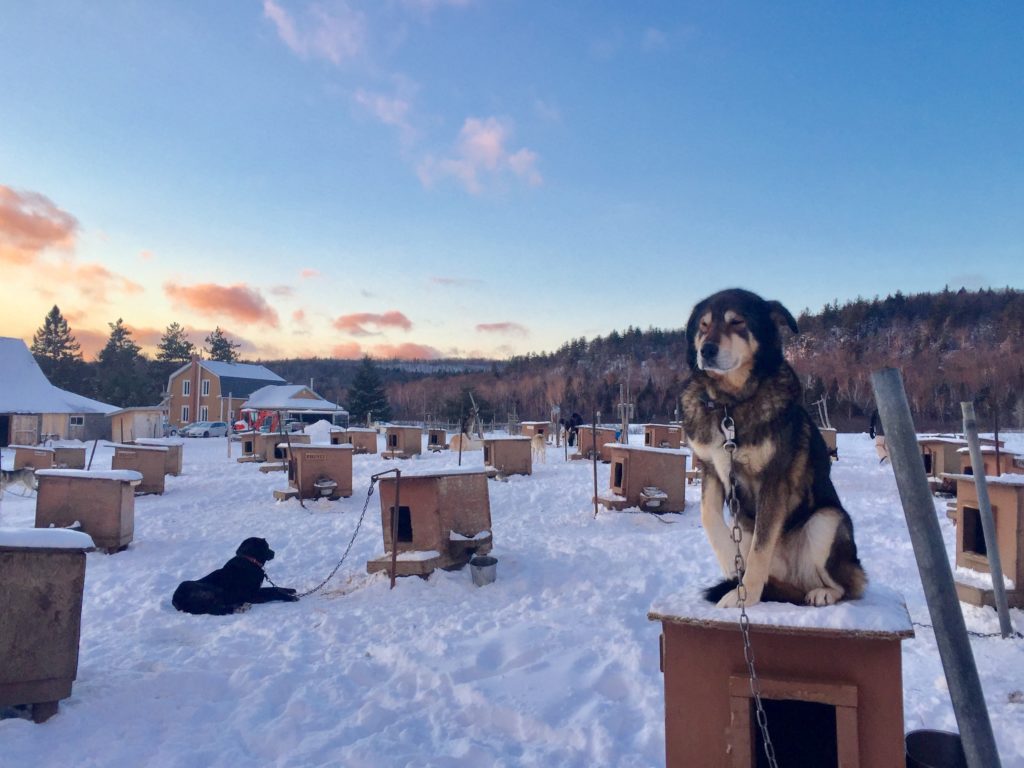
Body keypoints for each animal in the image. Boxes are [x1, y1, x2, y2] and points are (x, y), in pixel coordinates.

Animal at [169, 536, 299, 618]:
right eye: (266, 546)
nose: (274, 553)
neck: (249, 560)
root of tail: (176, 600)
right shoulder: (252, 595)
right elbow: (273, 592)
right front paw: (290, 597)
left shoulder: (256, 590)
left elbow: (273, 588)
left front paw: (290, 590)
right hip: (212, 590)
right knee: (216, 609)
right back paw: (239, 608)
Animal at [679, 288, 864, 606]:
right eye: (703, 326)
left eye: (737, 322)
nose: (706, 350)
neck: (730, 403)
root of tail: (796, 579)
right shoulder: (712, 470)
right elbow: (708, 517)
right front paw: (729, 562)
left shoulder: (773, 480)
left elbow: (760, 550)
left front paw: (746, 594)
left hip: (826, 521)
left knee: (850, 586)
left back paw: (823, 593)